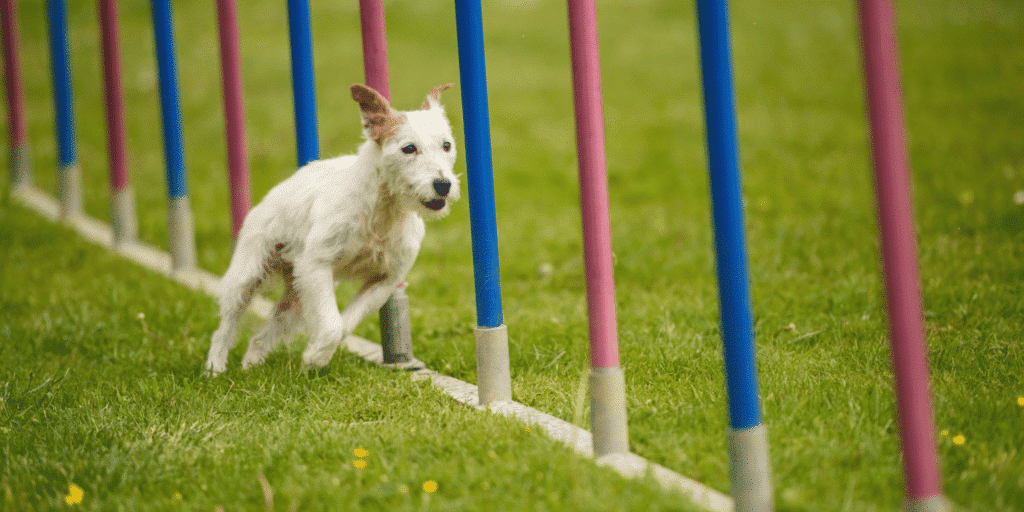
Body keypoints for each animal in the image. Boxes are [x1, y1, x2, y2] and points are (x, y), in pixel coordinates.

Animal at [204, 81, 460, 374]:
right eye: (409, 148)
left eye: (446, 145)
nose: (443, 185)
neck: (382, 212)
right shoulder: (317, 266)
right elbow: (331, 325)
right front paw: (316, 358)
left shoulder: (384, 281)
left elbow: (343, 325)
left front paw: (315, 355)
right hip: (249, 275)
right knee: (225, 326)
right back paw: (215, 367)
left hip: (298, 297)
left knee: (264, 333)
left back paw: (252, 364)